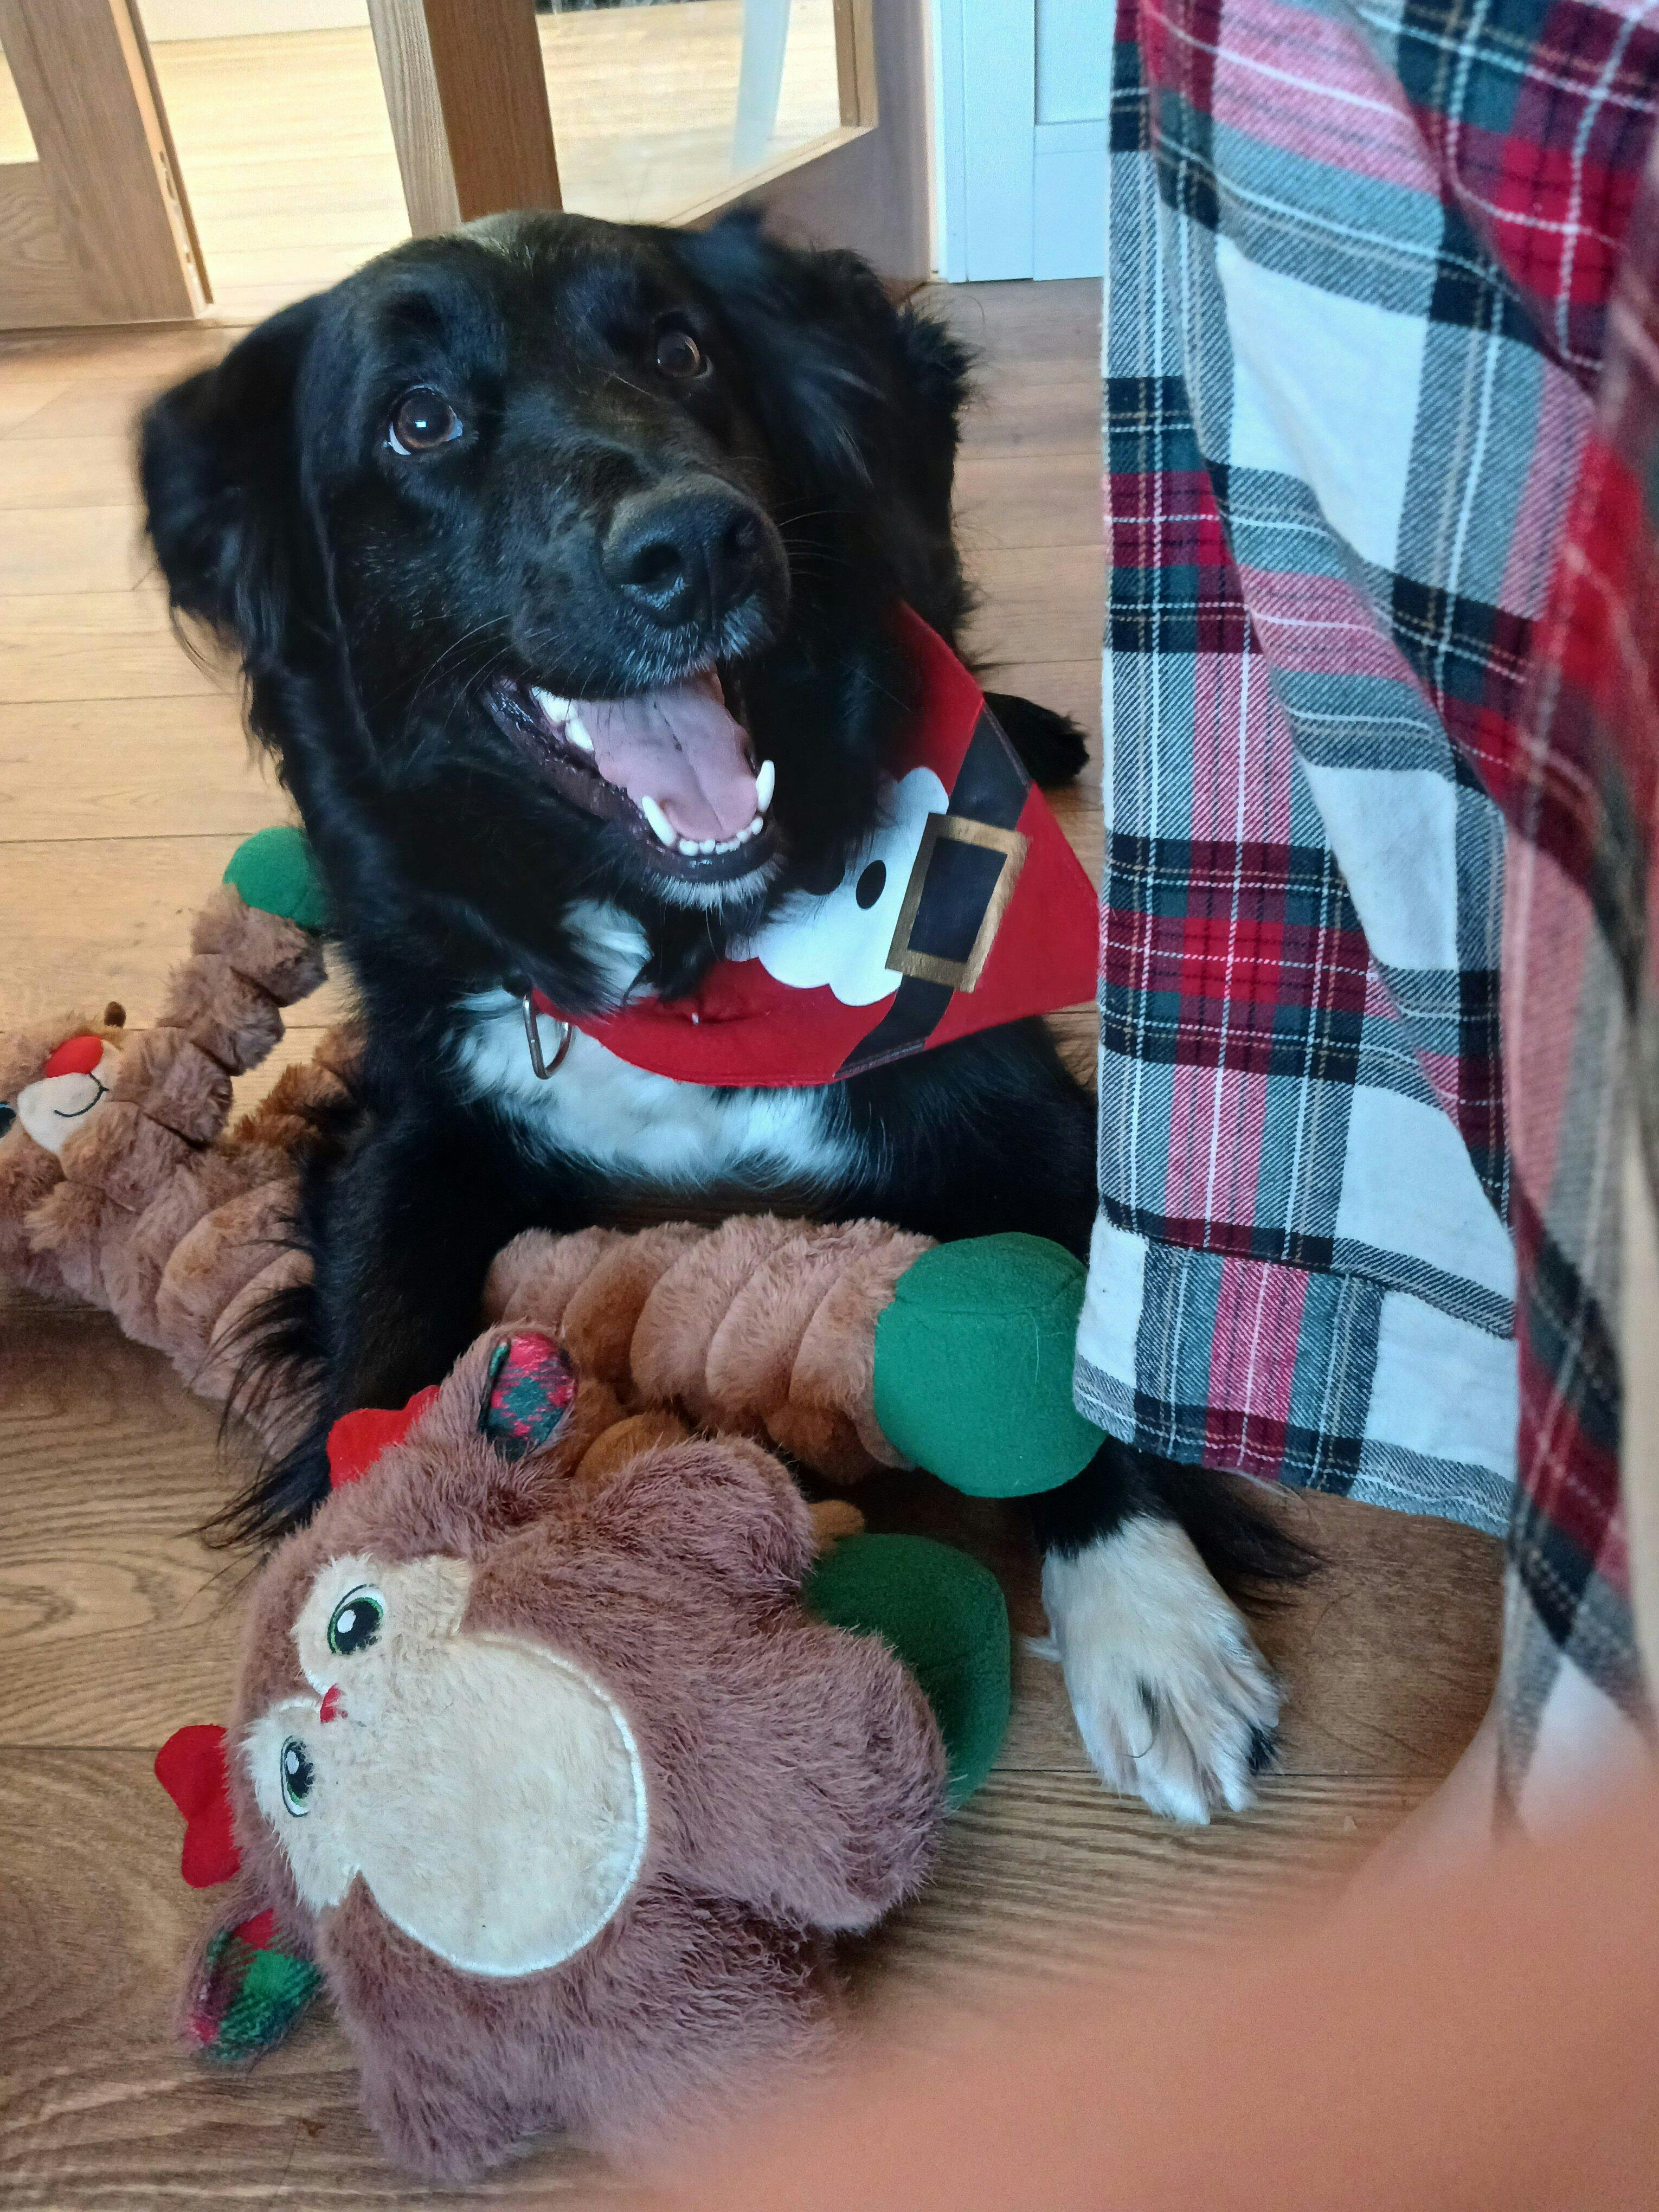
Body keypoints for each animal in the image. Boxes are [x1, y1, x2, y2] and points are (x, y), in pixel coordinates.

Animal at [139, 211, 1301, 1821]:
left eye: (681, 349)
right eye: (418, 422)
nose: (696, 546)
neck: (690, 960)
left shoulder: (999, 1095)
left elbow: (1072, 1333)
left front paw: (1153, 1615)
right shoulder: (408, 1117)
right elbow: (377, 1355)